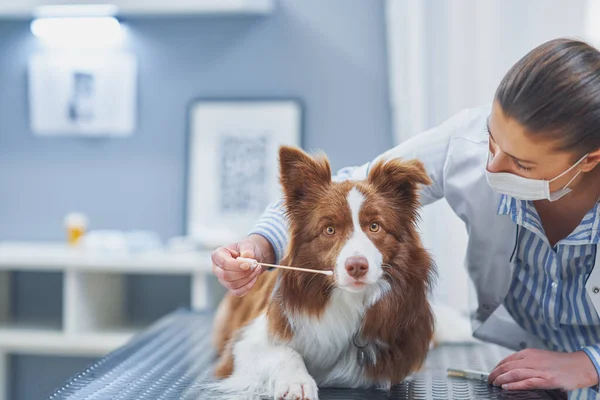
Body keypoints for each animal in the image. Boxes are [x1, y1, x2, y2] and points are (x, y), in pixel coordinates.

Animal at [212, 147, 436, 400]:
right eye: (329, 229)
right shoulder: (244, 343)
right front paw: (296, 382)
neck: (347, 300)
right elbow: (285, 353)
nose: (356, 266)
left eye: (375, 226)